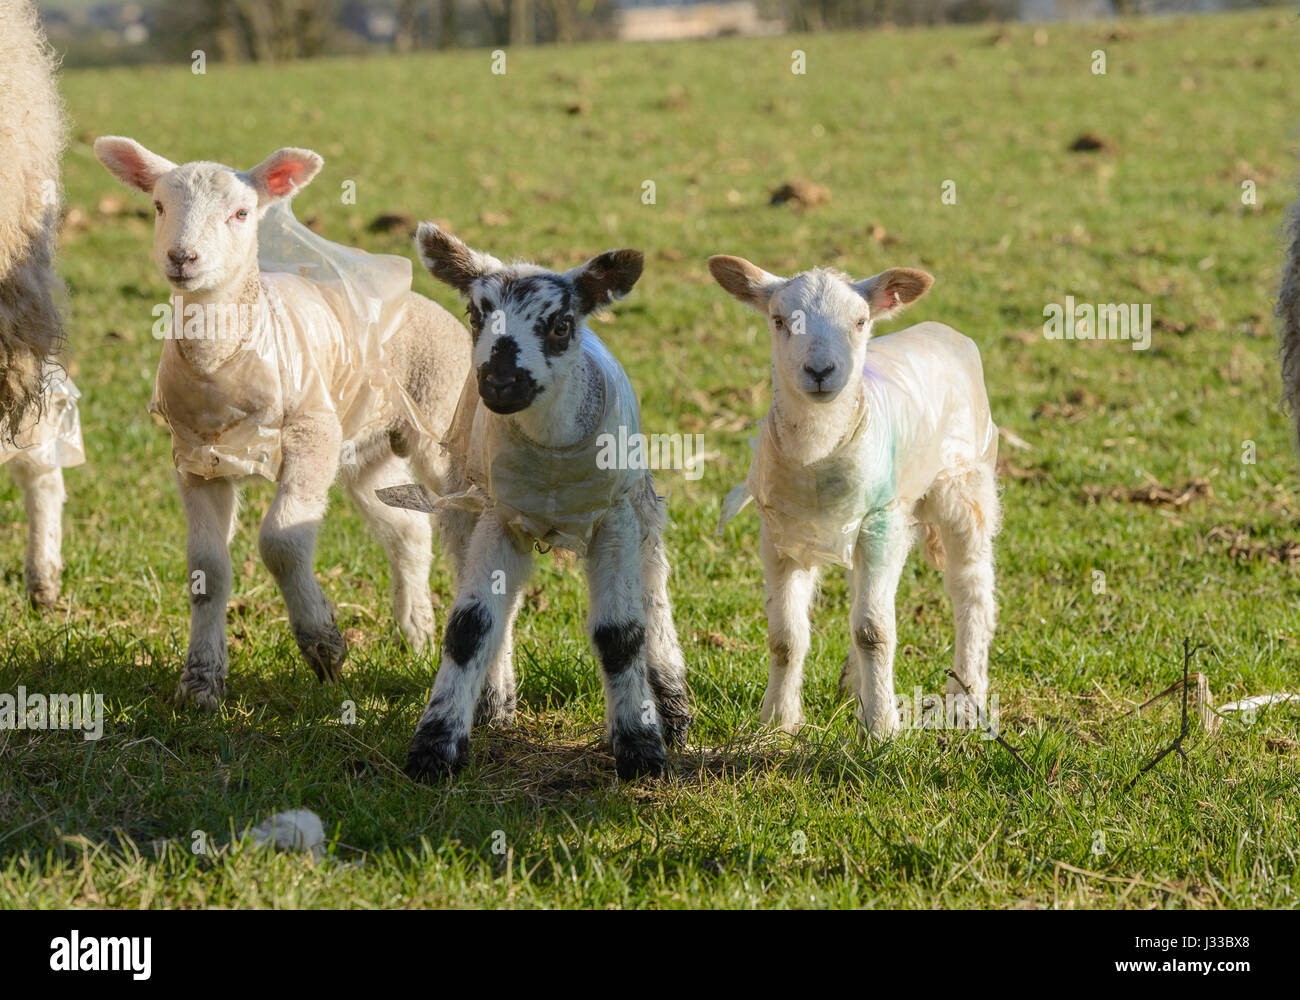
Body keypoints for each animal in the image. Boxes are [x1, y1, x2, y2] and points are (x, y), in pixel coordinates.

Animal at [94, 136, 473, 707]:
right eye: (158, 205)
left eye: (241, 213)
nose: (182, 257)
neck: (221, 361)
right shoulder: (197, 458)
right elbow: (206, 568)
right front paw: (200, 682)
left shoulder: (312, 431)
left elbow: (281, 542)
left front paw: (324, 645)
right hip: (367, 450)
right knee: (408, 530)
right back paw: (418, 633)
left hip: (439, 420)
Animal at [379, 226, 691, 780]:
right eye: (475, 314)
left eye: (561, 325)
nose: (501, 383)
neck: (551, 454)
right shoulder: (499, 516)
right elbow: (470, 628)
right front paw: (435, 748)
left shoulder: (614, 517)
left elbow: (620, 633)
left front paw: (641, 749)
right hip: (467, 501)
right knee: (498, 610)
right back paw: (494, 704)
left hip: (641, 506)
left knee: (653, 594)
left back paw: (672, 705)